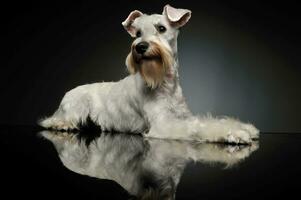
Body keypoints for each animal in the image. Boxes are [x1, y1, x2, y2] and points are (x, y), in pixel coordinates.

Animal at [38, 3, 258, 143]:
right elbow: (198, 127)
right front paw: (235, 133)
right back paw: (62, 125)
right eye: (137, 33)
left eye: (161, 28)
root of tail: (65, 96)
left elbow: (207, 120)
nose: (140, 46)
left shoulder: (182, 116)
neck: (165, 84)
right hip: (75, 108)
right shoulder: (165, 124)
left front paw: (245, 128)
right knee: (54, 121)